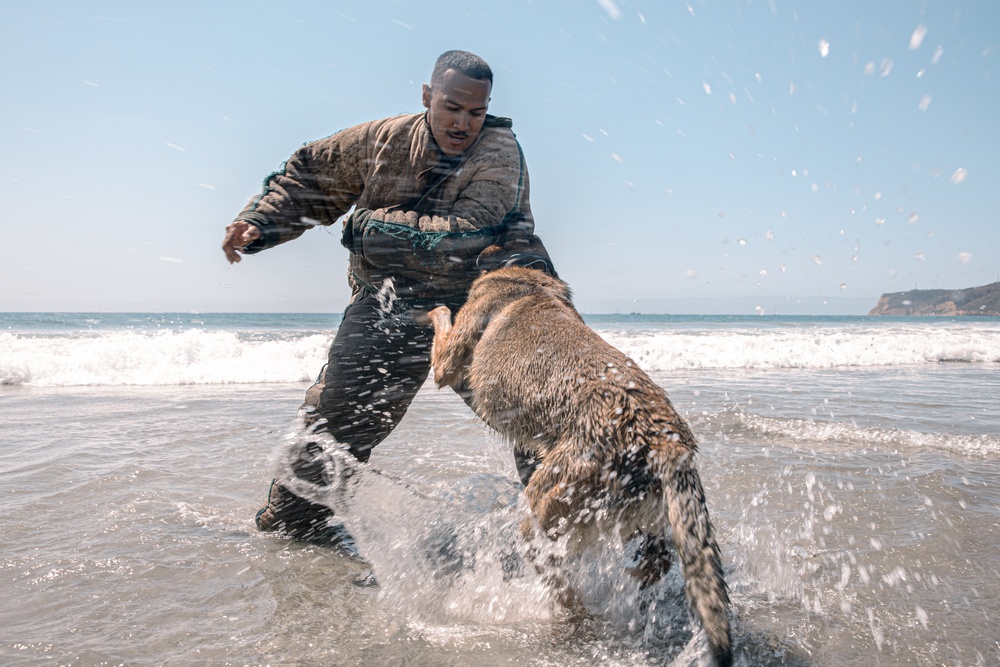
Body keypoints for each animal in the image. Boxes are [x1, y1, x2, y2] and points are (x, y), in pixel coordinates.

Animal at [426, 268, 732, 667]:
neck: (530, 282)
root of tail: (662, 437)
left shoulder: (448, 359)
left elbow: (442, 317)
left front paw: (429, 309)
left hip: (540, 509)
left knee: (559, 575)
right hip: (645, 519)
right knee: (656, 564)